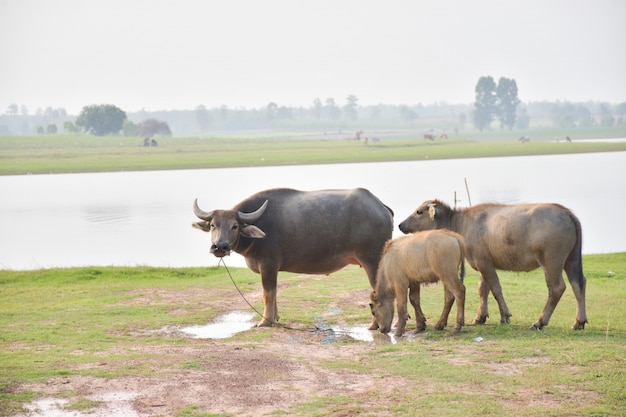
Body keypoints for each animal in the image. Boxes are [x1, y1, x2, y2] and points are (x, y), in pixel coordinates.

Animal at [193, 187, 392, 326]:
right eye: (213, 225)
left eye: (234, 226)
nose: (220, 246)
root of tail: (381, 206)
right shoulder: (272, 269)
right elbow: (274, 294)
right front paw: (275, 318)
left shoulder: (268, 265)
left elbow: (267, 293)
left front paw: (265, 321)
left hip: (373, 262)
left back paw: (375, 325)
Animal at [398, 200, 588, 330]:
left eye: (418, 211)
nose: (400, 224)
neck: (462, 224)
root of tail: (567, 213)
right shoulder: (485, 263)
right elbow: (483, 289)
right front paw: (480, 317)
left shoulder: (484, 263)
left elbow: (496, 288)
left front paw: (505, 316)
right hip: (571, 259)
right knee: (578, 283)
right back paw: (579, 321)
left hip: (551, 261)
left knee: (557, 288)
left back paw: (540, 322)